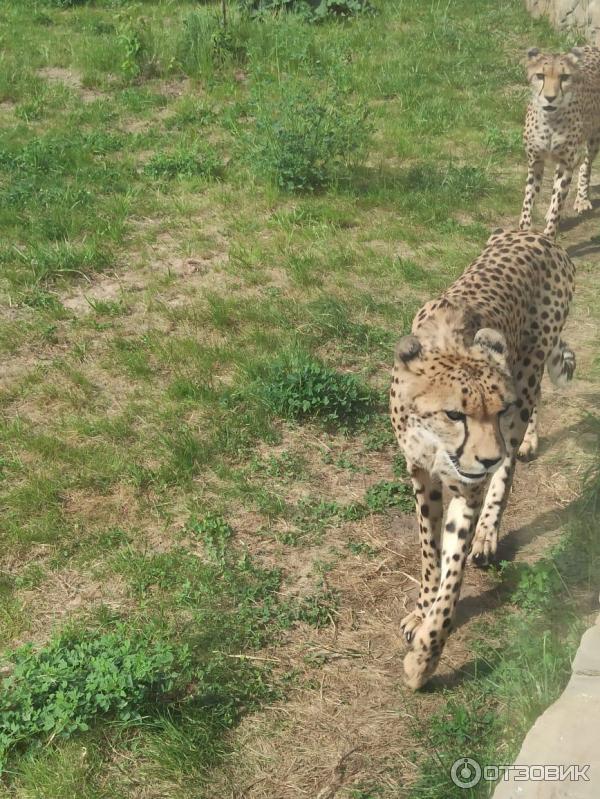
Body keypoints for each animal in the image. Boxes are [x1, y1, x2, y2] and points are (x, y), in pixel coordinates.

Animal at [392, 228, 576, 692]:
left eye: (497, 409)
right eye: (454, 414)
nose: (487, 458)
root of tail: (537, 234)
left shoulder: (469, 484)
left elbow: (453, 574)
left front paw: (424, 660)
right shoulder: (420, 473)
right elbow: (430, 552)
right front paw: (421, 609)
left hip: (526, 381)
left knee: (511, 461)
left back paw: (490, 530)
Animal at [516, 44, 600, 238]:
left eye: (564, 77)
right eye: (540, 76)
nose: (550, 97)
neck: (550, 121)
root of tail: (591, 46)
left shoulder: (566, 162)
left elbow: (558, 201)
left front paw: (549, 235)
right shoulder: (535, 161)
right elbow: (529, 197)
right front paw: (524, 229)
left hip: (593, 137)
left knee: (585, 165)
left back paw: (582, 199)